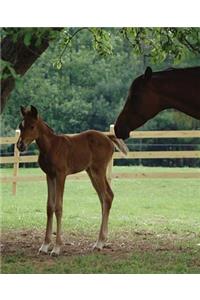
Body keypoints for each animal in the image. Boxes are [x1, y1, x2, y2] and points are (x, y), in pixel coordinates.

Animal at [16, 105, 127, 255]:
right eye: (21, 126)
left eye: (32, 126)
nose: (20, 145)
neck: (51, 147)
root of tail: (107, 136)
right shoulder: (49, 176)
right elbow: (49, 207)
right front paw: (45, 245)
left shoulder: (61, 175)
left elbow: (58, 207)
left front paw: (56, 248)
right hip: (91, 172)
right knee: (106, 197)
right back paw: (102, 241)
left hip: (98, 170)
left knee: (106, 197)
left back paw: (99, 243)